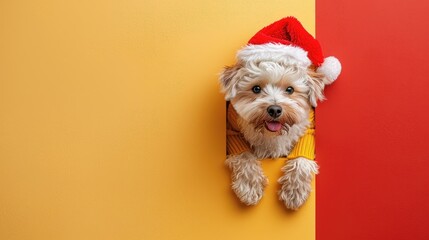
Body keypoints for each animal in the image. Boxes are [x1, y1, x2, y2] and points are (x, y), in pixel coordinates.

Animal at [219, 17, 340, 210]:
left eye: (290, 89)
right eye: (256, 88)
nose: (275, 109)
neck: (271, 135)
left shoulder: (308, 129)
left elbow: (301, 157)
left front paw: (294, 191)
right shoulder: (232, 130)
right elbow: (244, 155)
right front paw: (250, 187)